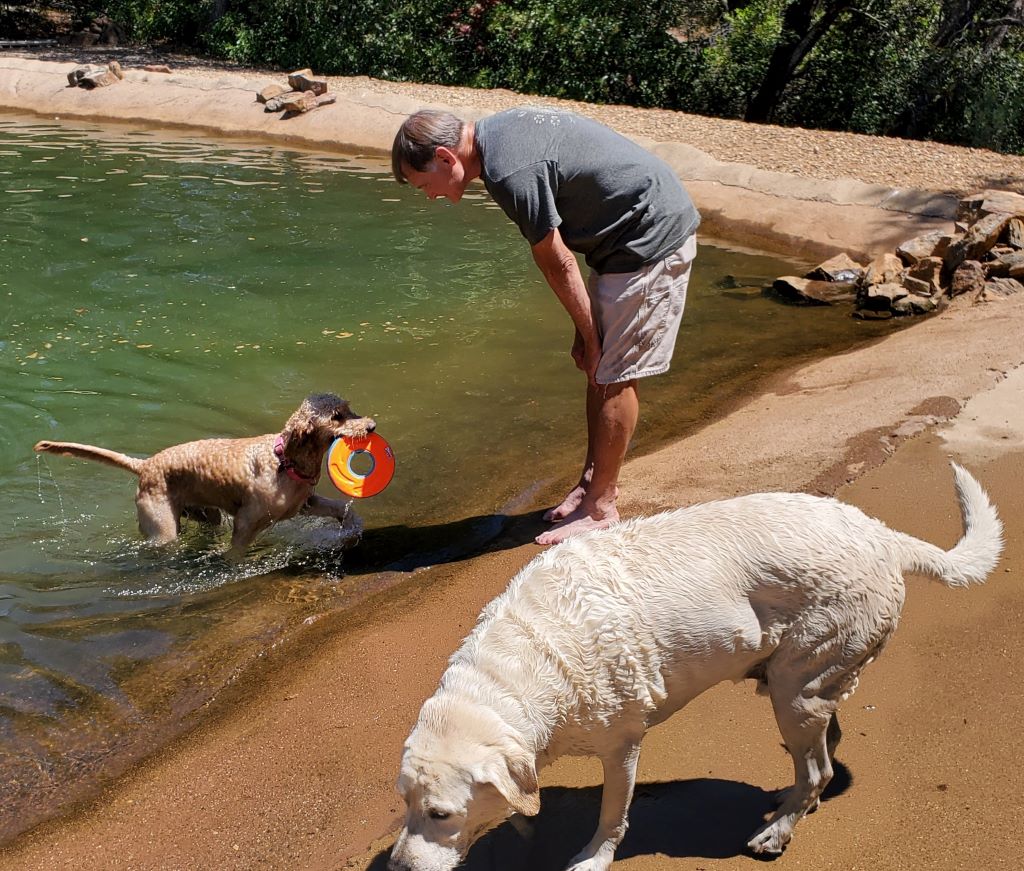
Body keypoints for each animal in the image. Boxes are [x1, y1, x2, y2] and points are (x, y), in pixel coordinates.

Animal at [34, 393, 374, 556]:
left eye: (349, 409)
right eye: (337, 416)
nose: (372, 426)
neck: (285, 461)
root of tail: (145, 465)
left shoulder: (304, 504)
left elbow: (340, 507)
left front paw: (352, 526)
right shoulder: (246, 523)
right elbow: (234, 554)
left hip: (205, 514)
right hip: (163, 528)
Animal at [385, 462, 999, 871]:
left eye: (441, 814)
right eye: (405, 805)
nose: (397, 869)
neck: (521, 665)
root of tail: (881, 533)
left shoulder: (622, 747)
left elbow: (612, 814)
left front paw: (593, 857)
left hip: (796, 688)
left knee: (819, 767)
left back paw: (780, 829)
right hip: (808, 681)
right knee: (822, 750)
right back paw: (791, 799)